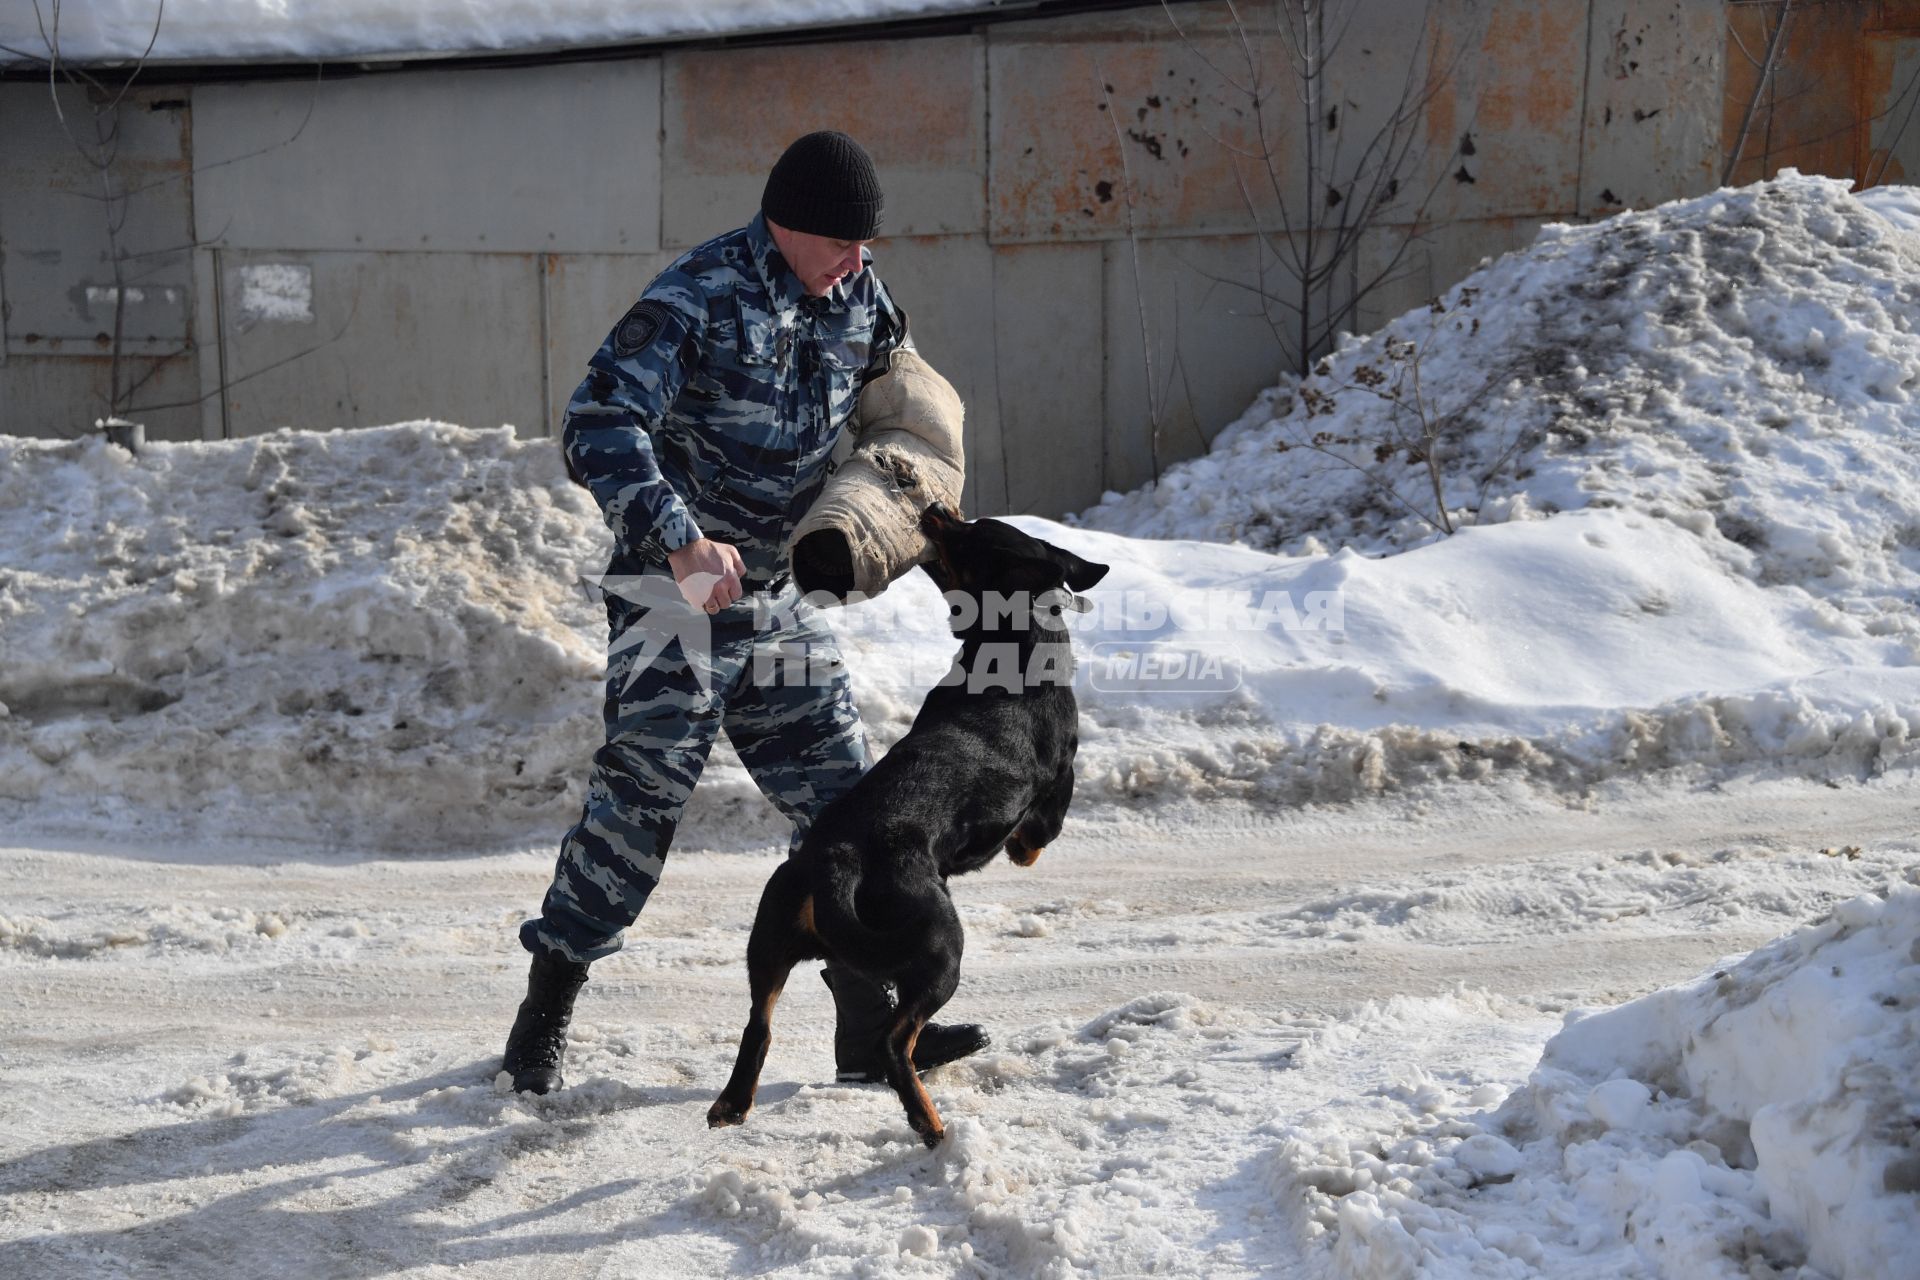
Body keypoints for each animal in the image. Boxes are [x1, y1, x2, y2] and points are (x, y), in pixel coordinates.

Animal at [706, 506, 1105, 1143]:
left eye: (968, 534)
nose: (939, 510)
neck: (1018, 642)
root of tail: (838, 855)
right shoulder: (1052, 797)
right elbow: (1037, 838)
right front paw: (1020, 850)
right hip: (941, 949)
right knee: (895, 1044)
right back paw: (929, 1121)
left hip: (769, 940)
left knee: (759, 1025)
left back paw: (732, 1103)